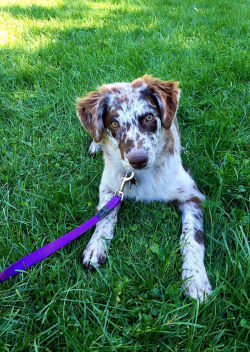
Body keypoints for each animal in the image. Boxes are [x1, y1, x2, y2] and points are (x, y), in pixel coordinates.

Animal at [77, 75, 212, 302]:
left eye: (148, 117)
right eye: (114, 123)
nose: (138, 160)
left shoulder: (191, 195)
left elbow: (192, 238)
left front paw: (195, 278)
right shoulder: (109, 188)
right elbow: (104, 217)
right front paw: (95, 247)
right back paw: (95, 145)